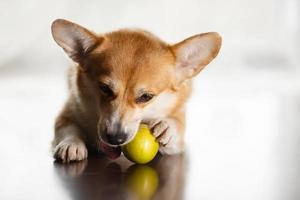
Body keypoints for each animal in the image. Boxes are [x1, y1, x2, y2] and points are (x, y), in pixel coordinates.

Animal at [51, 19, 220, 162]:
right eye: (104, 88)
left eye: (146, 96)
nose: (115, 138)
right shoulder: (68, 113)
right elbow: (68, 128)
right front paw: (71, 144)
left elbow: (176, 127)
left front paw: (167, 127)